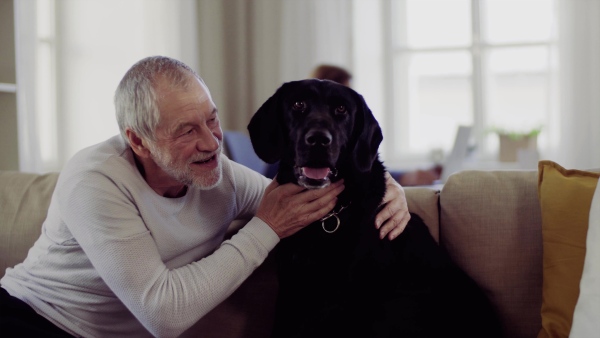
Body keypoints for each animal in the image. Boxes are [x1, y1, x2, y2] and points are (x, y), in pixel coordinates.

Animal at [248, 79, 502, 338]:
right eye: (298, 104)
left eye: (341, 109)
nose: (319, 140)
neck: (330, 216)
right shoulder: (290, 288)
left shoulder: (340, 296)